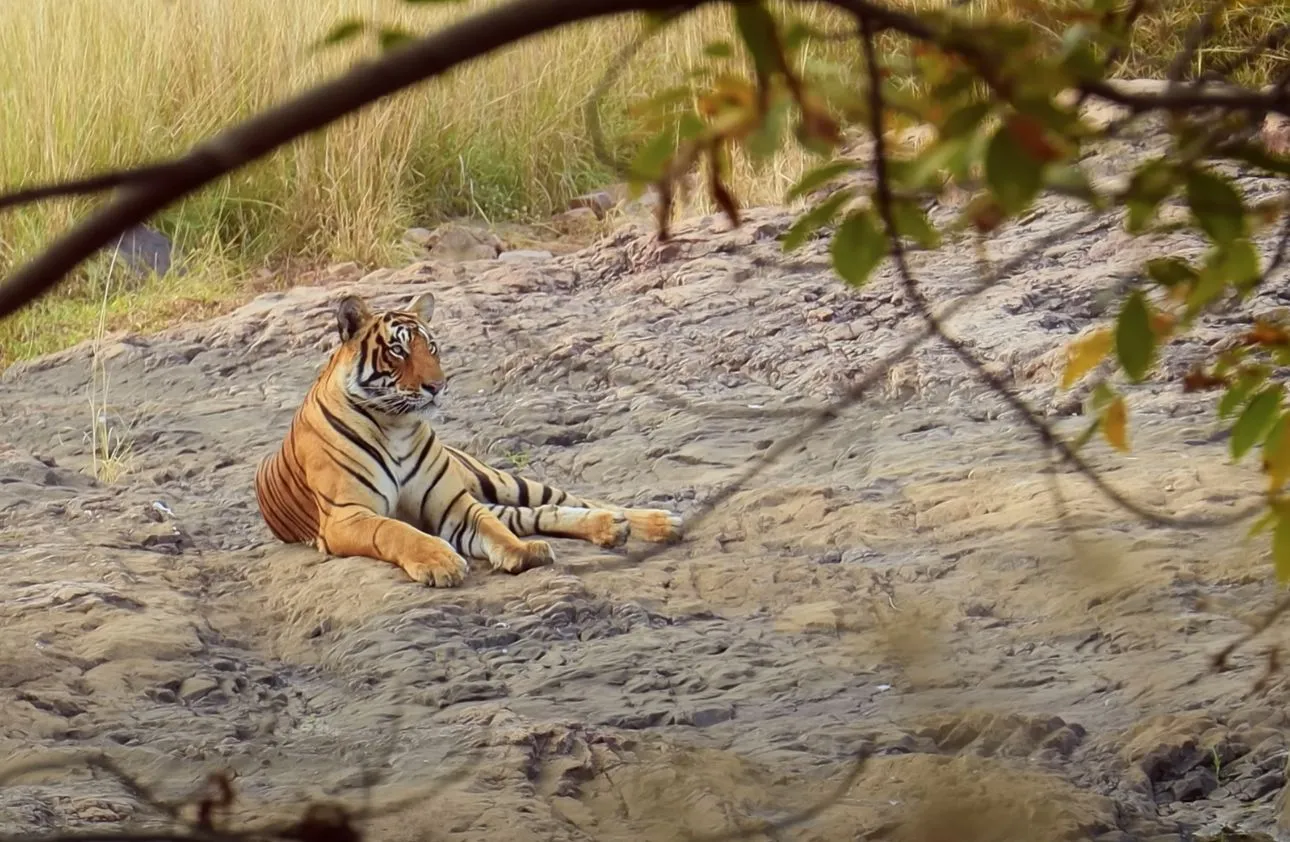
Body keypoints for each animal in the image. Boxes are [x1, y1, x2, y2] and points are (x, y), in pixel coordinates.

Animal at [253, 290, 684, 588]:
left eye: (431, 346)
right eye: (398, 350)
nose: (437, 386)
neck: (394, 425)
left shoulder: (453, 502)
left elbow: (491, 529)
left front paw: (522, 552)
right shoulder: (347, 515)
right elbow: (395, 530)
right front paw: (441, 562)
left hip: (499, 480)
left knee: (567, 501)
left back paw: (656, 522)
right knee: (536, 514)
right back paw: (613, 527)